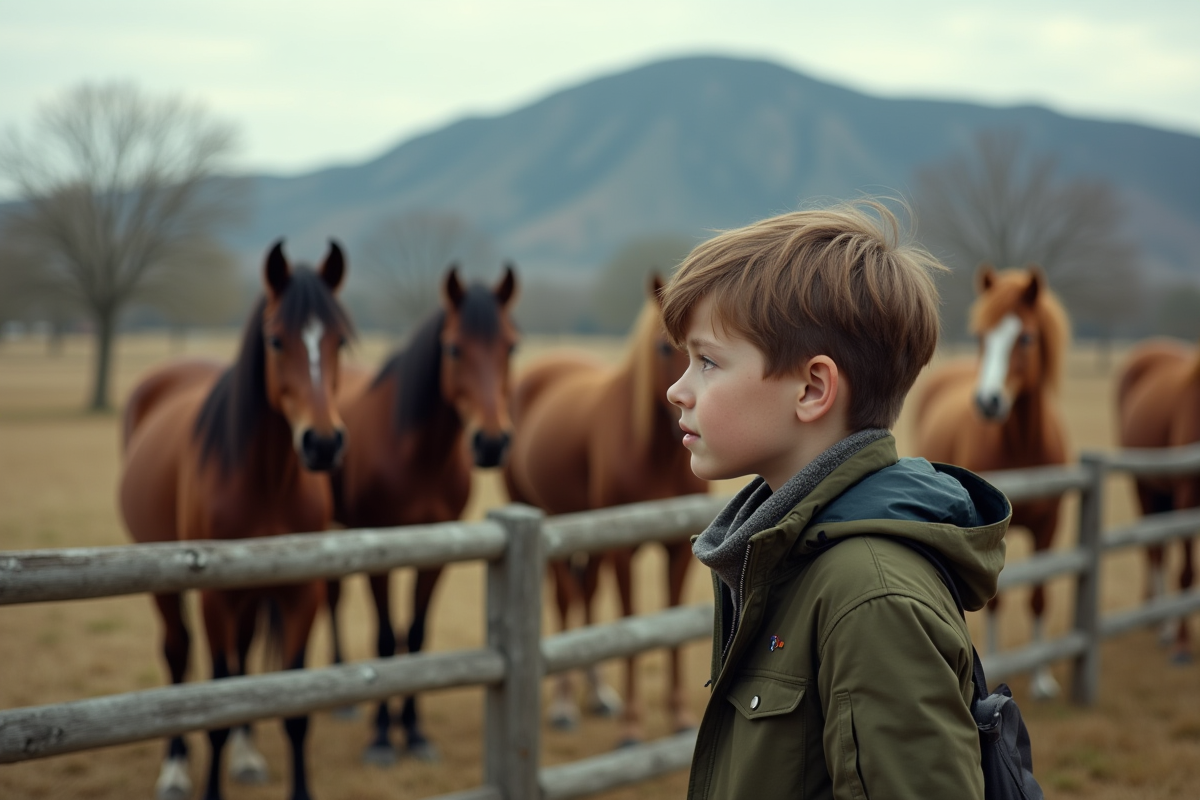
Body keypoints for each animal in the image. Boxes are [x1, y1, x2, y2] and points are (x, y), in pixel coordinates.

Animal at [118, 241, 351, 800]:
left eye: (339, 340)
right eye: (275, 339)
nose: (323, 443)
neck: (265, 479)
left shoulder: (301, 593)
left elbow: (292, 710)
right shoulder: (216, 597)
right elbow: (217, 708)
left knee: (244, 664)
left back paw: (247, 756)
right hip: (165, 583)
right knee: (178, 656)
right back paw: (175, 767)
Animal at [328, 265, 518, 764]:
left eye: (511, 346)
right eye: (454, 348)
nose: (492, 442)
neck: (415, 457)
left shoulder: (437, 553)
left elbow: (414, 636)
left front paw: (413, 732)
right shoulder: (377, 547)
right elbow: (384, 638)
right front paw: (381, 737)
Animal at [503, 277, 706, 745]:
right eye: (663, 347)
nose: (688, 412)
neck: (658, 456)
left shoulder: (678, 550)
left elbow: (674, 621)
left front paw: (680, 716)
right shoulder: (623, 551)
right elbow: (629, 624)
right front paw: (632, 725)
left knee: (587, 592)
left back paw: (596, 694)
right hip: (550, 521)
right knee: (565, 599)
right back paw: (563, 704)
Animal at [912, 264, 1070, 700]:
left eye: (1027, 338)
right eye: (983, 337)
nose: (987, 402)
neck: (1023, 447)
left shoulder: (1049, 526)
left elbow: (1038, 597)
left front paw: (1042, 679)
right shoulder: (995, 532)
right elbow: (997, 601)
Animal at [1116, 338, 1200, 662]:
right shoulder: (1187, 498)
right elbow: (1187, 573)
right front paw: (1182, 643)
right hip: (1145, 487)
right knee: (1154, 550)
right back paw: (1162, 626)